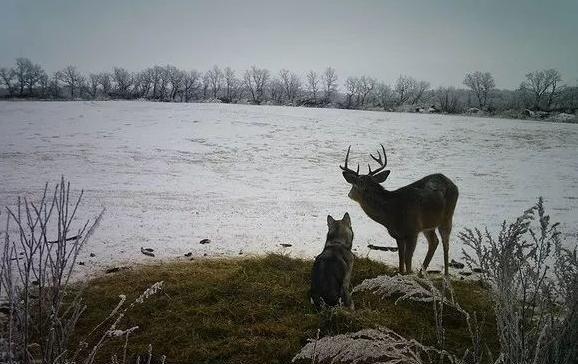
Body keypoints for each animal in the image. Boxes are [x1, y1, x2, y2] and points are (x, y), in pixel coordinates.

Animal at [340, 145, 456, 276]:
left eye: (353, 185)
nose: (349, 194)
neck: (393, 212)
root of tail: (450, 181)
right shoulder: (398, 235)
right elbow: (401, 258)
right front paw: (401, 273)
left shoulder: (413, 231)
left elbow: (407, 259)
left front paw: (409, 274)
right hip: (428, 225)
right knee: (434, 242)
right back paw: (421, 273)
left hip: (447, 216)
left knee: (445, 243)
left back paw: (445, 275)